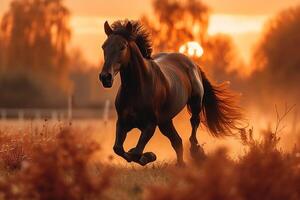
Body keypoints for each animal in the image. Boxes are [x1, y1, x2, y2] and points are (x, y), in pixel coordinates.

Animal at [99, 19, 244, 166]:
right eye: (104, 46)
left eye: (122, 47)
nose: (105, 77)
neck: (136, 90)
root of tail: (193, 64)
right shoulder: (122, 123)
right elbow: (118, 149)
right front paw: (147, 155)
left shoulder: (150, 125)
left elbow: (136, 153)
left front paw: (149, 156)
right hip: (165, 121)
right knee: (177, 141)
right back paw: (181, 164)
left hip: (194, 104)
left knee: (194, 123)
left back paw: (196, 152)